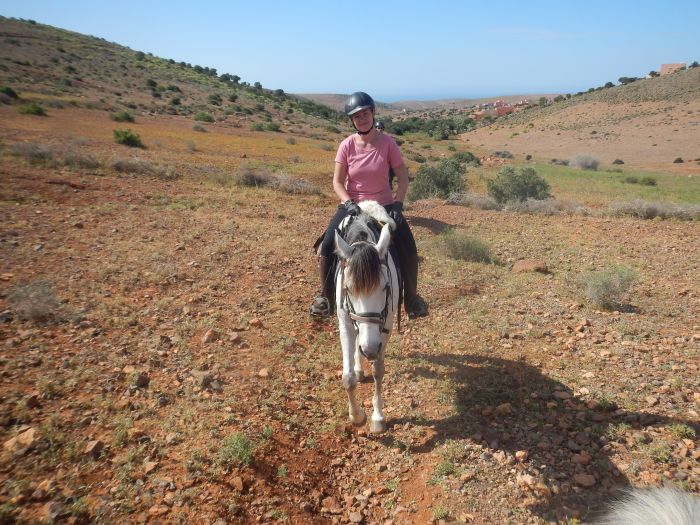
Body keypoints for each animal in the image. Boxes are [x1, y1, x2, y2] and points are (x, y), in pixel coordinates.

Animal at [334, 199, 400, 432]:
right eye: (348, 289)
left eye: (386, 287)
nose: (370, 349)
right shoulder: (345, 322)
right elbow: (348, 378)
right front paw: (356, 416)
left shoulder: (385, 324)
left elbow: (378, 371)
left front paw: (377, 417)